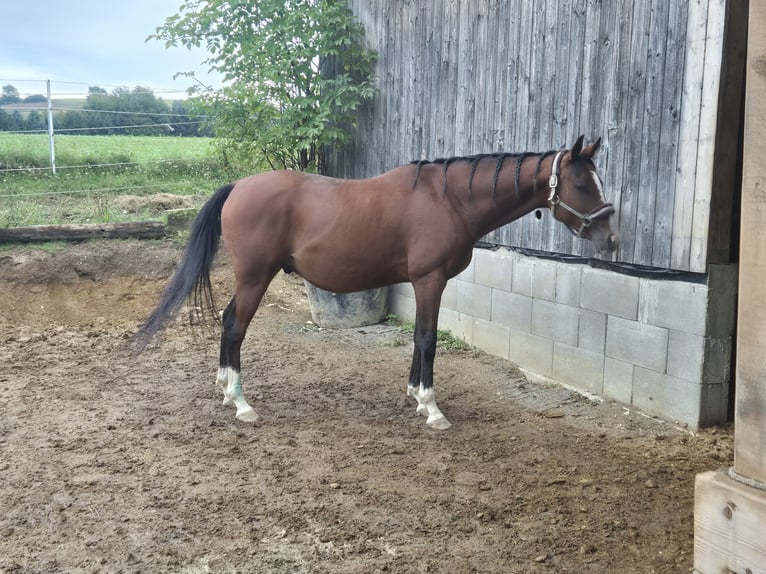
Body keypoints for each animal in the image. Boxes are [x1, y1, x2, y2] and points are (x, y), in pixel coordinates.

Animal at [136, 135, 618, 430]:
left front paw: (413, 395)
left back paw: (224, 390)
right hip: (255, 277)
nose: (612, 237)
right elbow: (427, 339)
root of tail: (237, 186)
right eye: (580, 182)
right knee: (235, 325)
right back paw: (240, 402)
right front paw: (431, 407)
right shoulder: (429, 280)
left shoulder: (424, 283)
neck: (449, 200)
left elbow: (420, 338)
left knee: (226, 321)